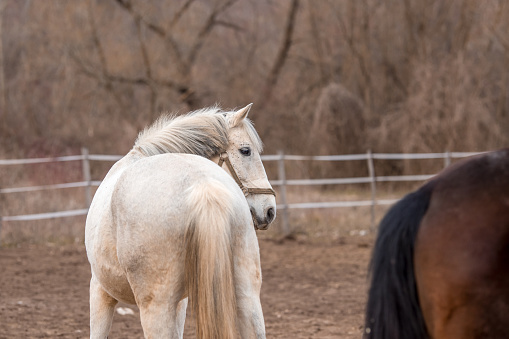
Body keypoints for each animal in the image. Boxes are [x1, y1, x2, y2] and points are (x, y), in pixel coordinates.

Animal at [84, 104, 274, 339]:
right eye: (246, 150)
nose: (269, 210)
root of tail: (202, 185)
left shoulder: (99, 289)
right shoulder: (180, 302)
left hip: (157, 305)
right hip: (247, 293)